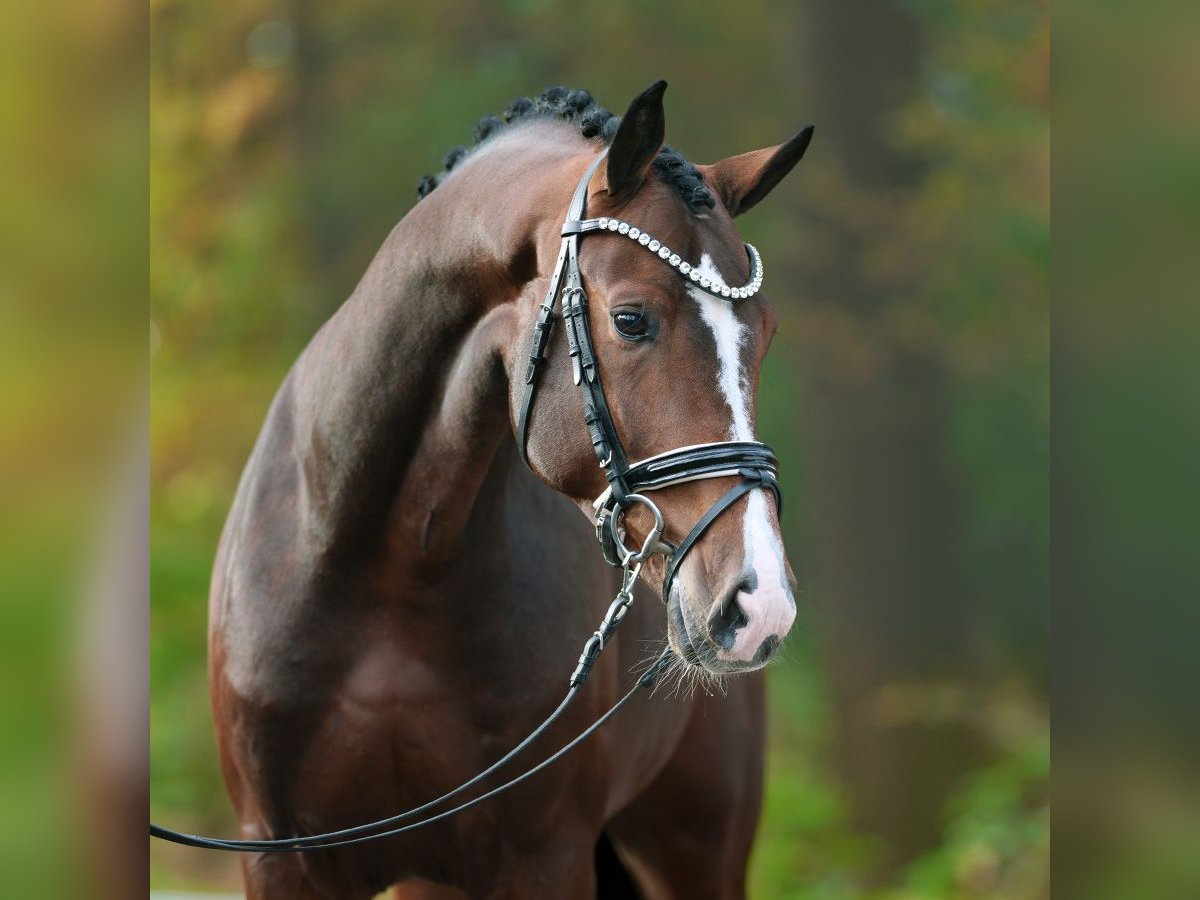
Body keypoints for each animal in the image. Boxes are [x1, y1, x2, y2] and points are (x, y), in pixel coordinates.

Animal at [211, 81, 811, 897]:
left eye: (767, 332)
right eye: (631, 320)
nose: (759, 603)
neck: (388, 569)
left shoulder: (544, 855)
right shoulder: (283, 860)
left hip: (697, 850)